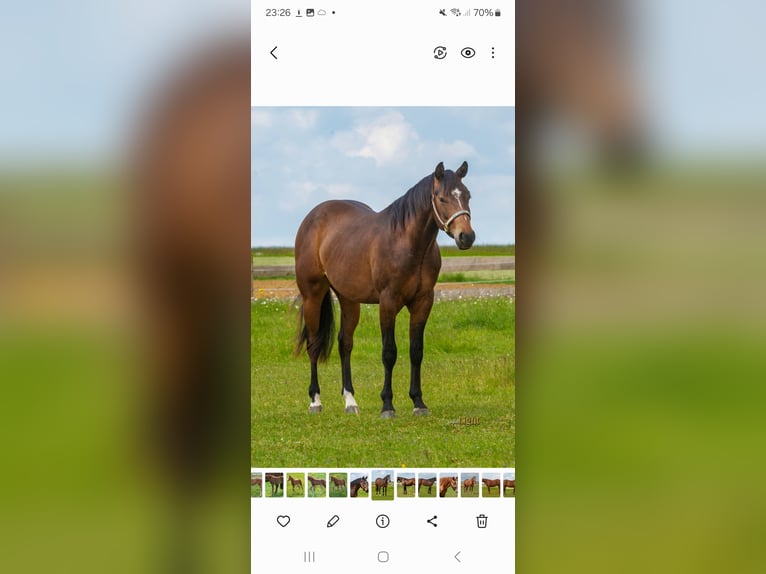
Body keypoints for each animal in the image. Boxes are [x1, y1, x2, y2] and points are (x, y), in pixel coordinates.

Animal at [294, 161, 475, 418]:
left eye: (468, 195)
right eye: (441, 198)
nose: (466, 236)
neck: (407, 244)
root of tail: (313, 217)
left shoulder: (423, 301)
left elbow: (416, 351)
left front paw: (418, 402)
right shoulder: (388, 302)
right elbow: (389, 353)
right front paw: (387, 405)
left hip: (349, 300)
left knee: (345, 344)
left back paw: (350, 401)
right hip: (313, 295)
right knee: (313, 344)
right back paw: (315, 401)